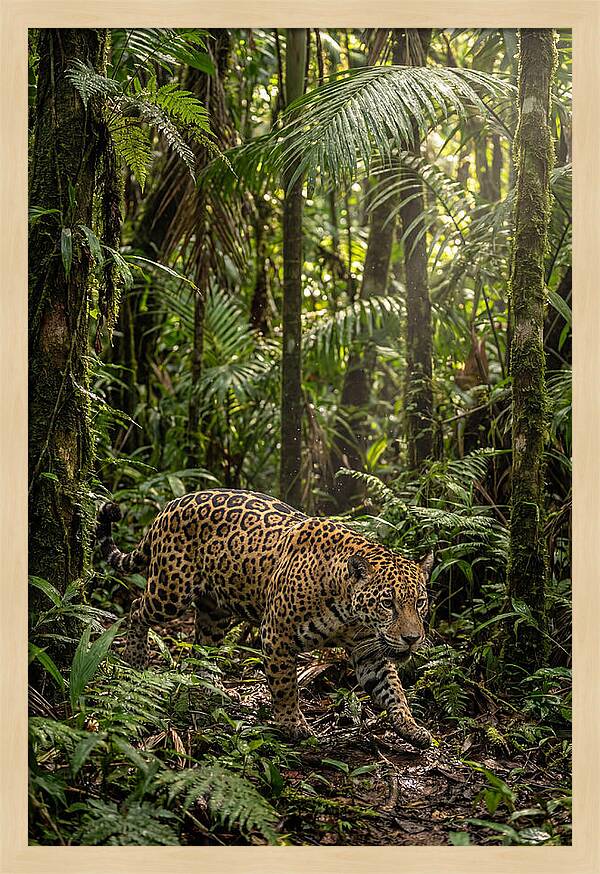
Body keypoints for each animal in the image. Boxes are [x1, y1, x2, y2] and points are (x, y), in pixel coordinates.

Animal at [96, 488, 434, 748]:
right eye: (388, 603)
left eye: (419, 603)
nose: (412, 639)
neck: (348, 611)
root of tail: (170, 505)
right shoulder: (277, 635)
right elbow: (285, 685)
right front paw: (292, 725)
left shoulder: (368, 652)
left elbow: (392, 689)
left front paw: (411, 728)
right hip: (171, 591)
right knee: (136, 608)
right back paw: (136, 657)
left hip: (215, 611)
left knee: (203, 644)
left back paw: (211, 686)